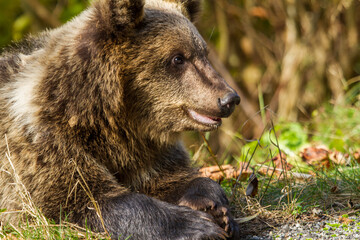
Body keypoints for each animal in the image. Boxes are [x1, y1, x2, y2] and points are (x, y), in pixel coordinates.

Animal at [0, 0, 242, 239]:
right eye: (177, 58)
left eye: (203, 53)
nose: (229, 98)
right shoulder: (42, 145)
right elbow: (86, 200)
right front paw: (198, 226)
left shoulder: (147, 151)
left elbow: (172, 178)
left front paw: (212, 205)